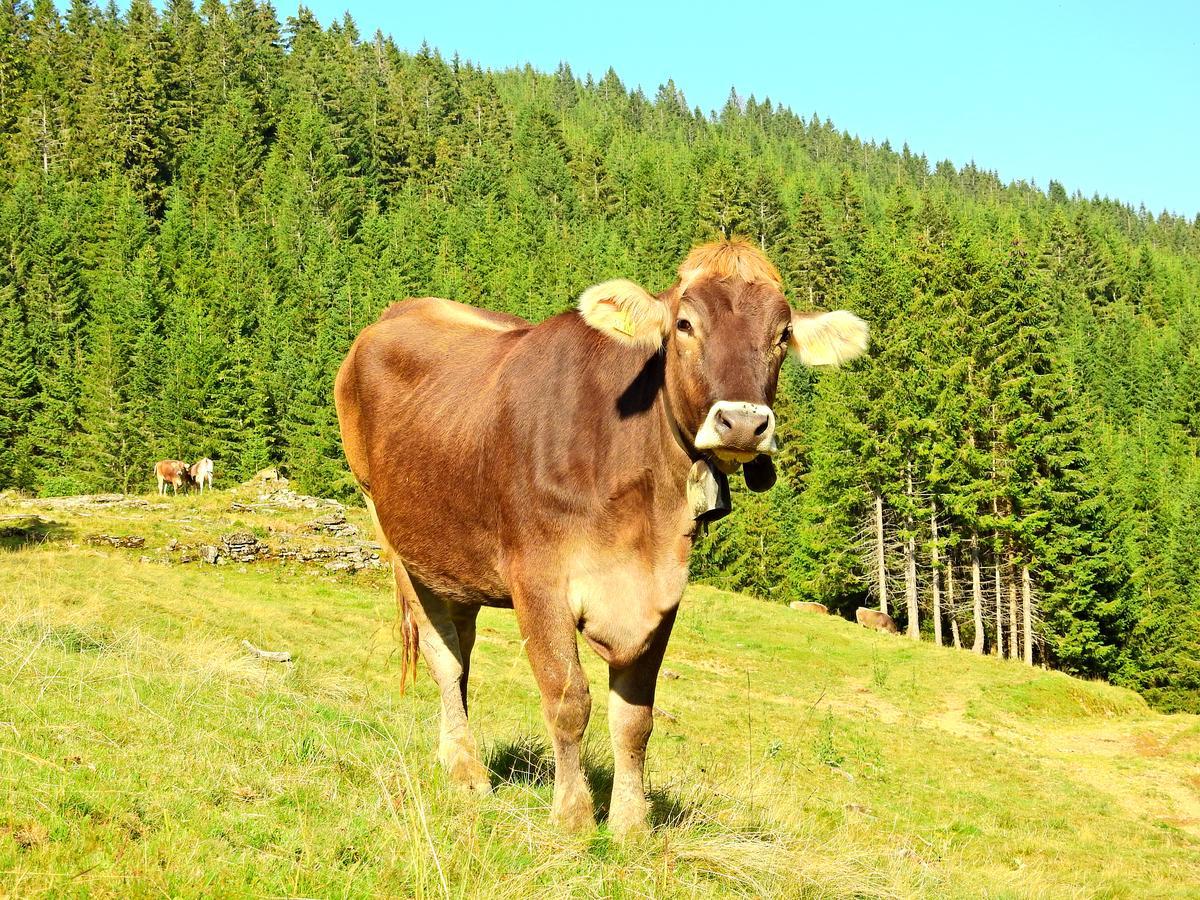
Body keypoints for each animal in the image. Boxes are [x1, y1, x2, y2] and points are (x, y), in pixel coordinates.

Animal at [338, 240, 873, 840]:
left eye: (782, 334)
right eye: (684, 324)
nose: (742, 422)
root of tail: (397, 312)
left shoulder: (663, 590)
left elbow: (635, 718)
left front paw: (629, 824)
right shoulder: (537, 578)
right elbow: (568, 697)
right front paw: (572, 816)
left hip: (454, 550)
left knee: (463, 644)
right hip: (392, 532)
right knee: (444, 654)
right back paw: (465, 769)